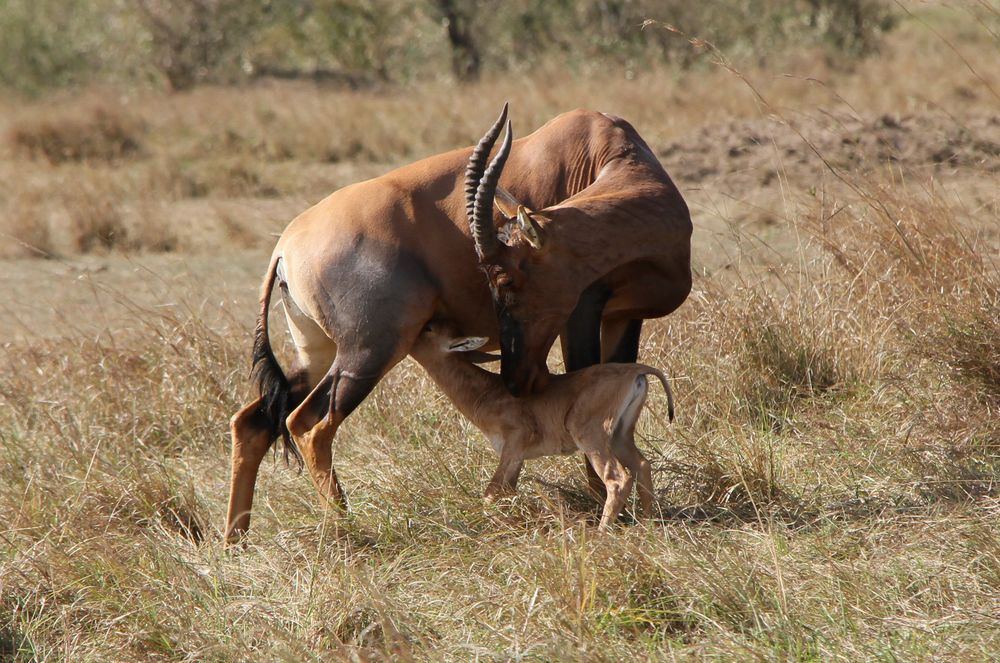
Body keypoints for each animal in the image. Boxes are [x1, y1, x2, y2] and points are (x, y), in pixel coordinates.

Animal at [410, 320, 676, 528]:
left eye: (429, 328)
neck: (491, 391)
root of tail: (636, 370)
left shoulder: (513, 446)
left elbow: (490, 494)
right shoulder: (516, 458)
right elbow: (506, 492)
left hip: (591, 436)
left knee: (618, 479)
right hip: (620, 435)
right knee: (642, 466)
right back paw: (648, 525)